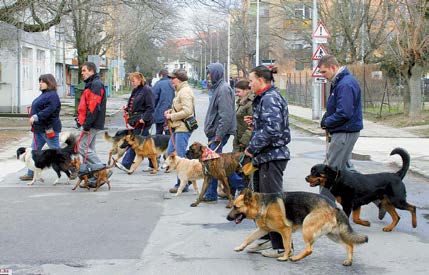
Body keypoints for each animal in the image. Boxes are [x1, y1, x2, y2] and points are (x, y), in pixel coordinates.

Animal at [226, 190, 366, 268]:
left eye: (236, 207)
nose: (227, 218)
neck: (262, 205)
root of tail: (333, 205)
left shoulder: (285, 230)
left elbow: (286, 246)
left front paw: (284, 257)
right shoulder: (263, 230)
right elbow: (248, 238)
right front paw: (240, 247)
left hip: (307, 228)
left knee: (309, 249)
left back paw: (295, 258)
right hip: (332, 234)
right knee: (349, 245)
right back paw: (349, 261)